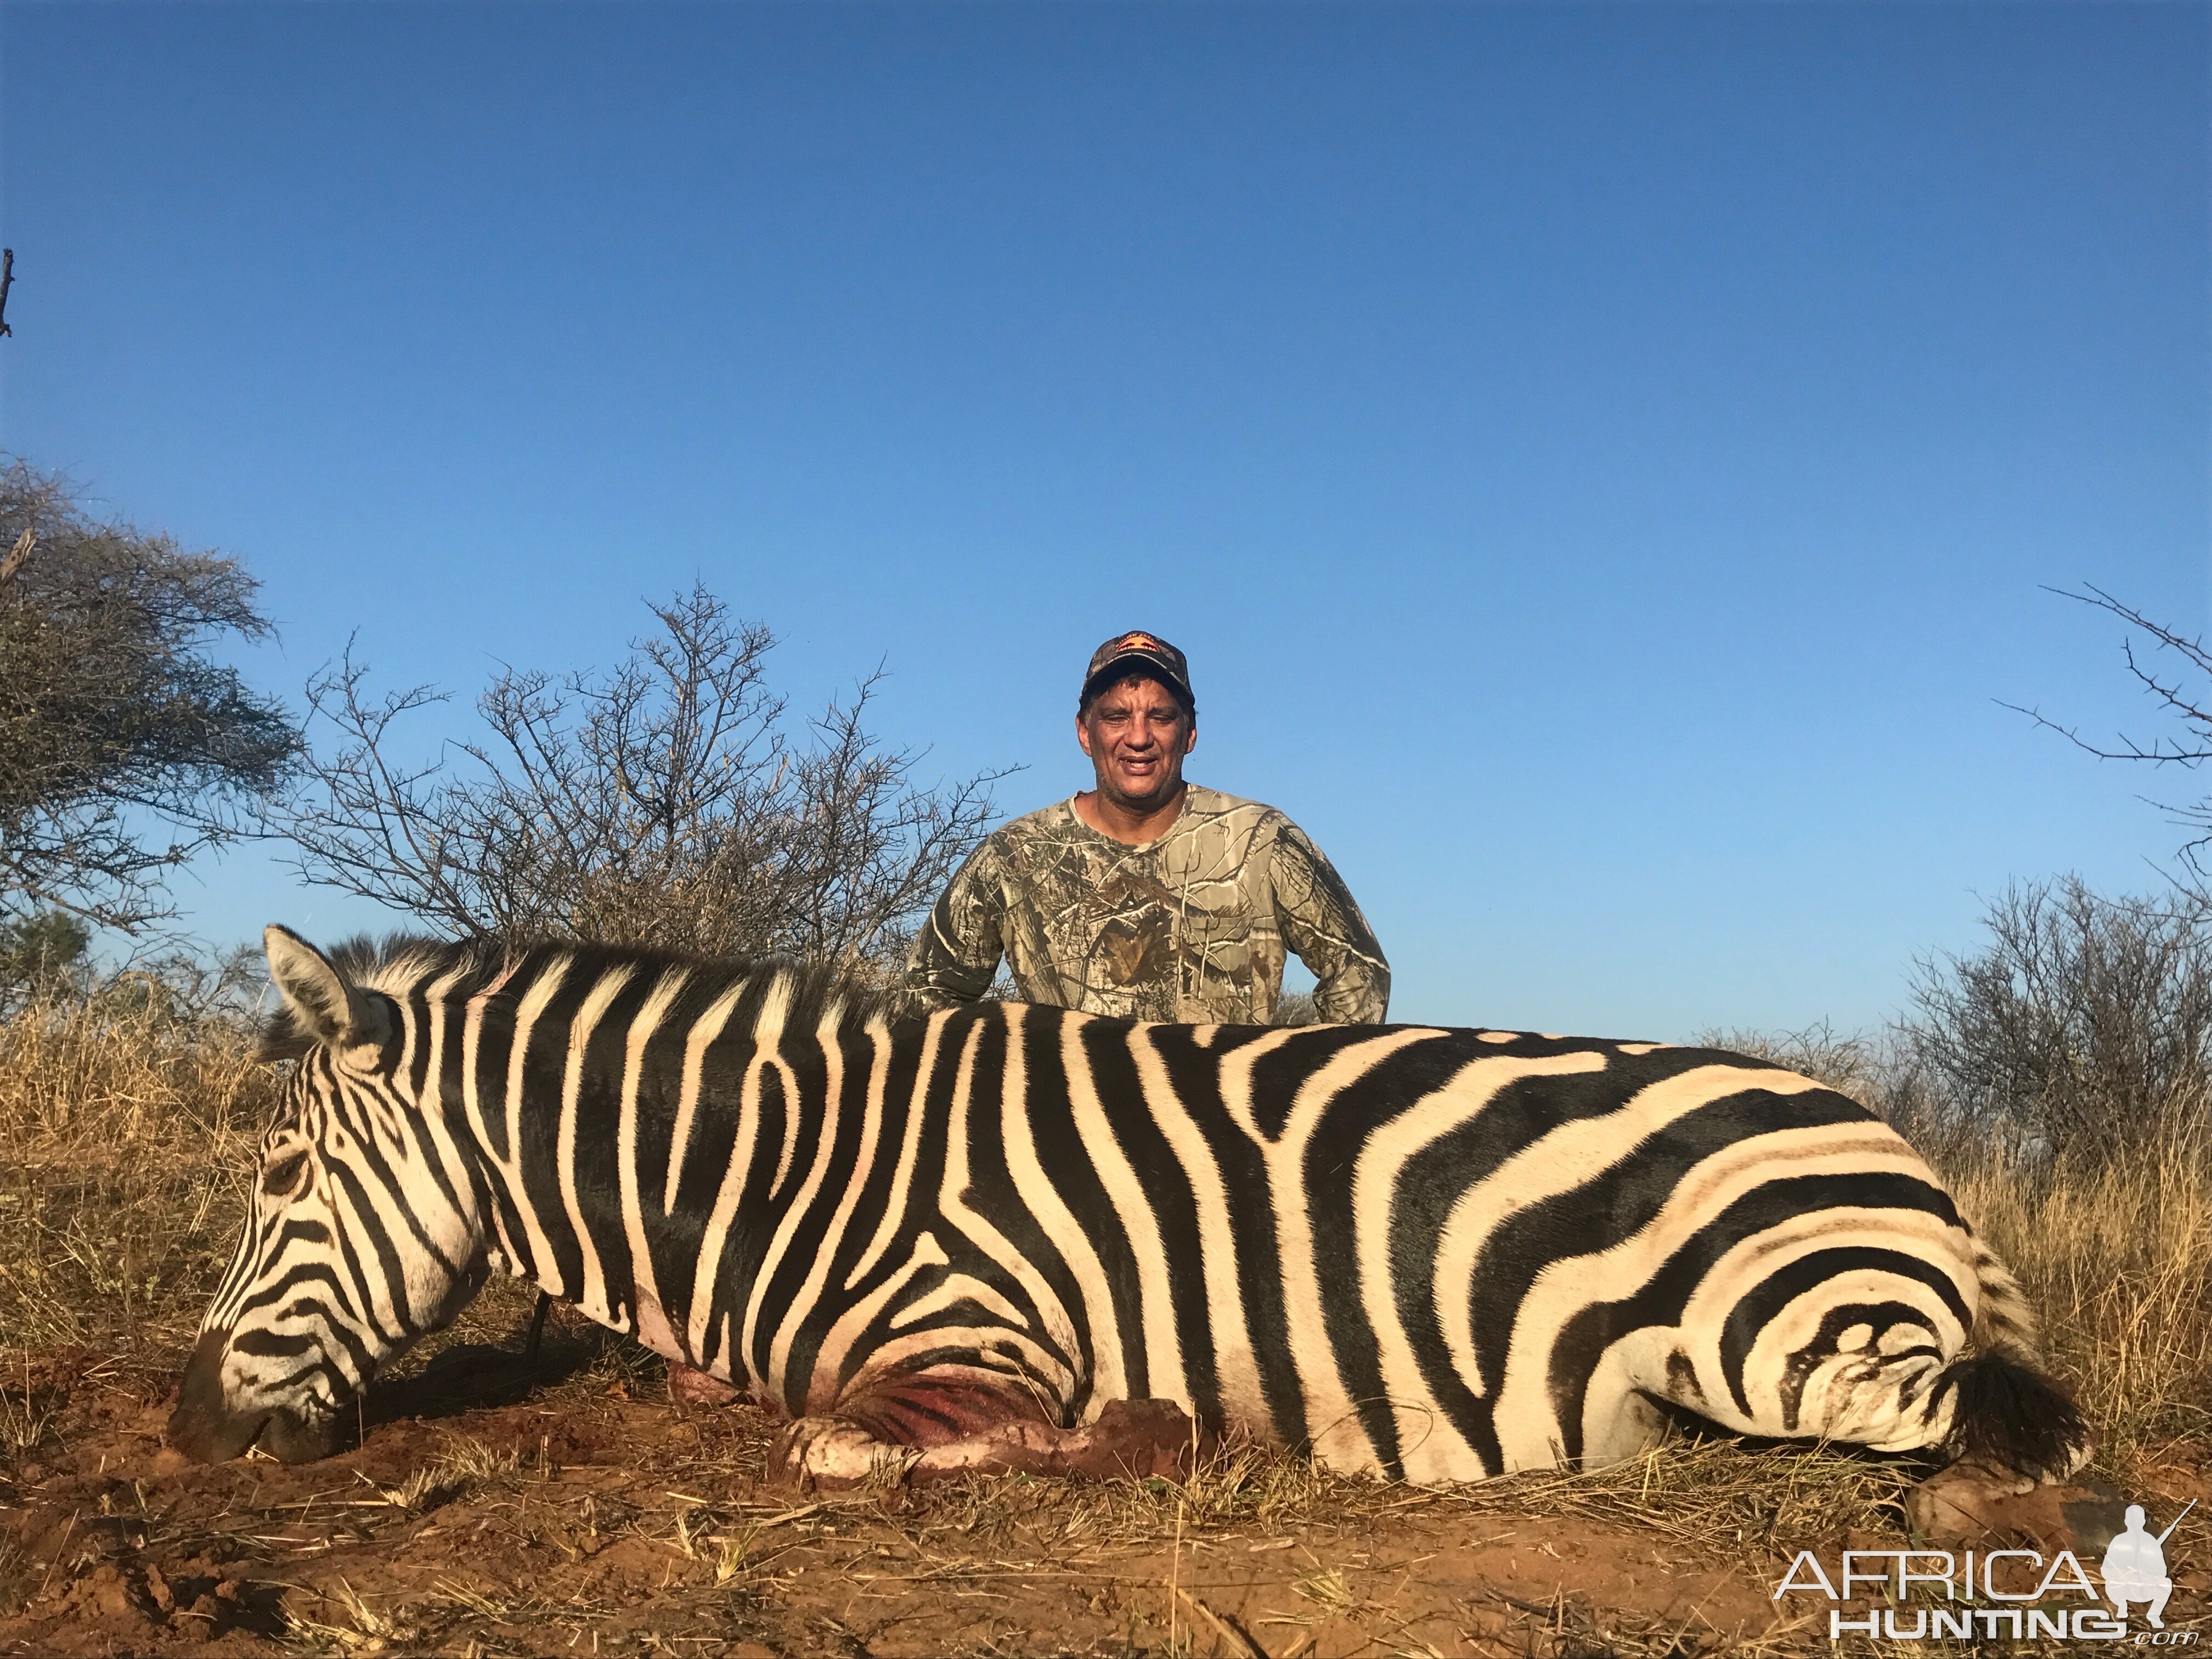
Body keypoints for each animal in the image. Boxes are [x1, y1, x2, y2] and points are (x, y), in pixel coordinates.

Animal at [168, 929, 2088, 1504]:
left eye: (277, 1180)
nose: (183, 1426)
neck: (792, 1180)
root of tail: (1903, 1148)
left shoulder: (988, 1338)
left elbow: (834, 1446)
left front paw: (1152, 1437)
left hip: (1776, 1335)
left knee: (1971, 1426)